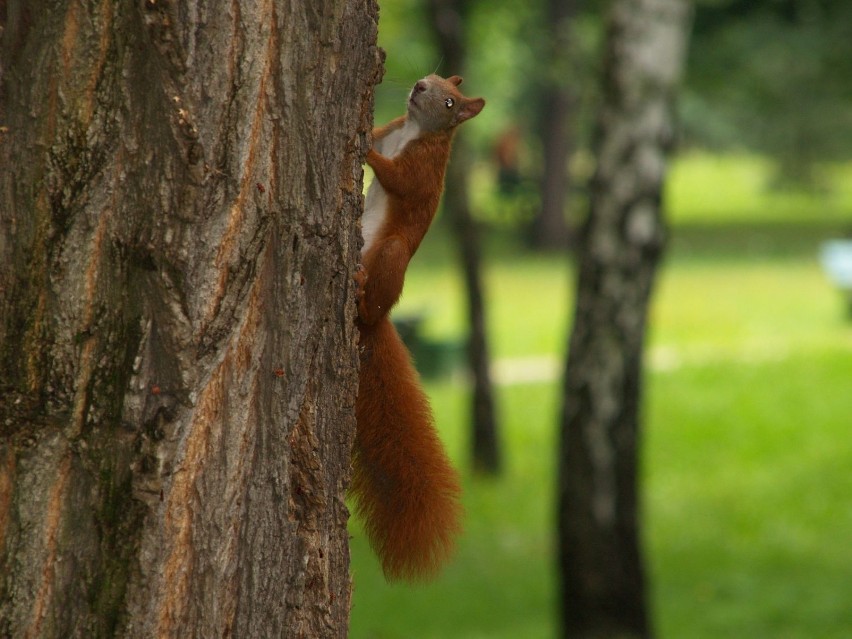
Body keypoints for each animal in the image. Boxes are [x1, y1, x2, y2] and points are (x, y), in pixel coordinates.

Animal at [352, 75, 486, 580]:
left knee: (373, 300)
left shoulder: (421, 170)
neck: (413, 132)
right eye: (436, 80)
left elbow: (399, 179)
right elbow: (379, 135)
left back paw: (360, 296)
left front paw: (365, 155)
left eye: (449, 101)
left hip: (390, 255)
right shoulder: (392, 130)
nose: (420, 84)